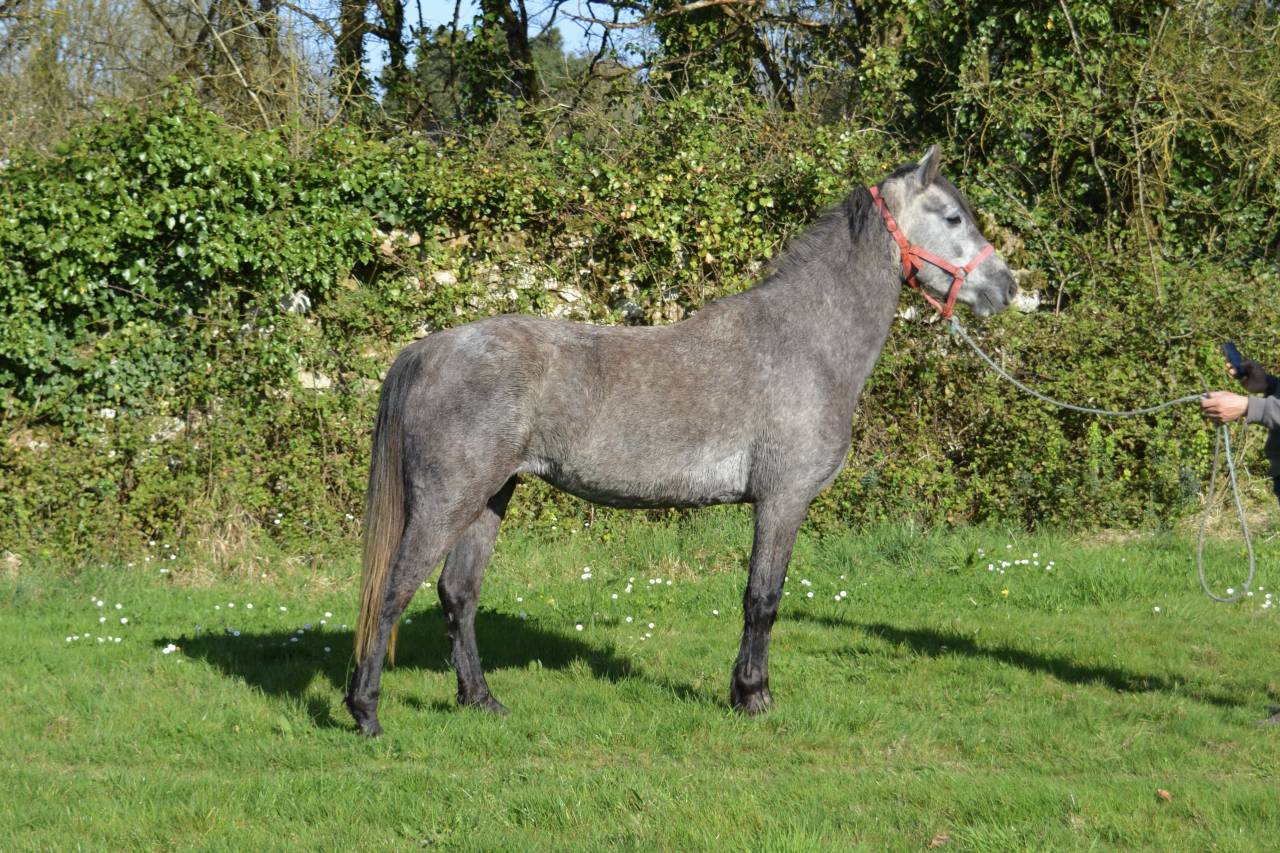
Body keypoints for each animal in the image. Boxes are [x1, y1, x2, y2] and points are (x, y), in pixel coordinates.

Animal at [344, 146, 1017, 735]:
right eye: (953, 218)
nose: (1006, 288)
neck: (804, 343)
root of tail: (428, 349)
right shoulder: (783, 500)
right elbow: (762, 599)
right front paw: (753, 697)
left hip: (491, 497)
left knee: (458, 595)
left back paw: (481, 701)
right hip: (447, 502)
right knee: (394, 590)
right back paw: (366, 712)